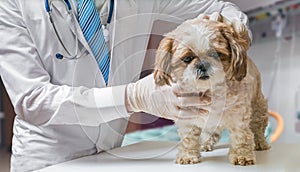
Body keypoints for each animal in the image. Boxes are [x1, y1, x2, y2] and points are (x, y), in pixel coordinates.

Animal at [155, 12, 270, 166]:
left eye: (216, 54)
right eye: (187, 58)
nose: (203, 64)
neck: (209, 91)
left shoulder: (238, 115)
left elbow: (241, 136)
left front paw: (242, 156)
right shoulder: (187, 116)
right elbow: (188, 138)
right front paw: (187, 155)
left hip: (258, 108)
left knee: (257, 128)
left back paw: (260, 143)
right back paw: (206, 143)